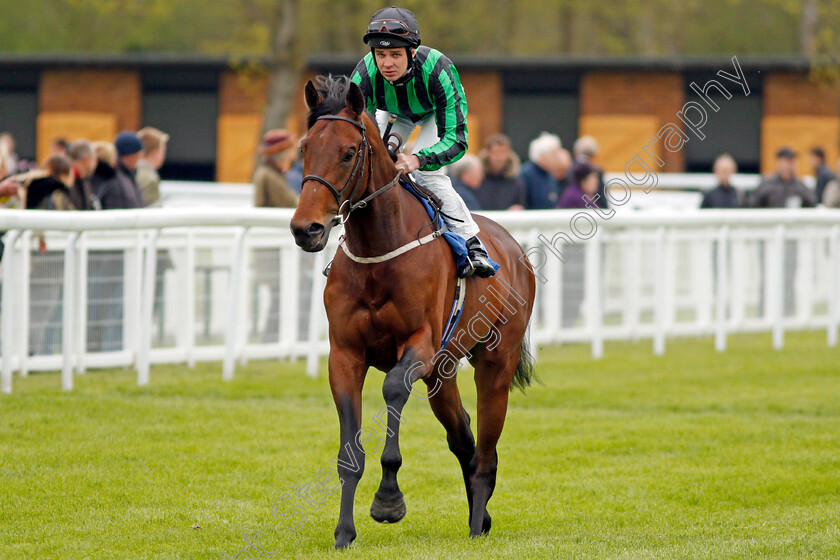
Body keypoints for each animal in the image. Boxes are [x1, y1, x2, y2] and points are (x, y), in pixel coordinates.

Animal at [290, 76, 540, 548]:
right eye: (304, 149)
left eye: (348, 152)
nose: (305, 229)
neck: (380, 249)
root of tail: (513, 249)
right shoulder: (345, 354)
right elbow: (349, 452)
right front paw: (344, 533)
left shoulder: (419, 346)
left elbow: (391, 389)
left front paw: (388, 500)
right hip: (443, 372)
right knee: (463, 437)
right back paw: (481, 516)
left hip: (494, 363)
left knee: (486, 448)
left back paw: (477, 525)